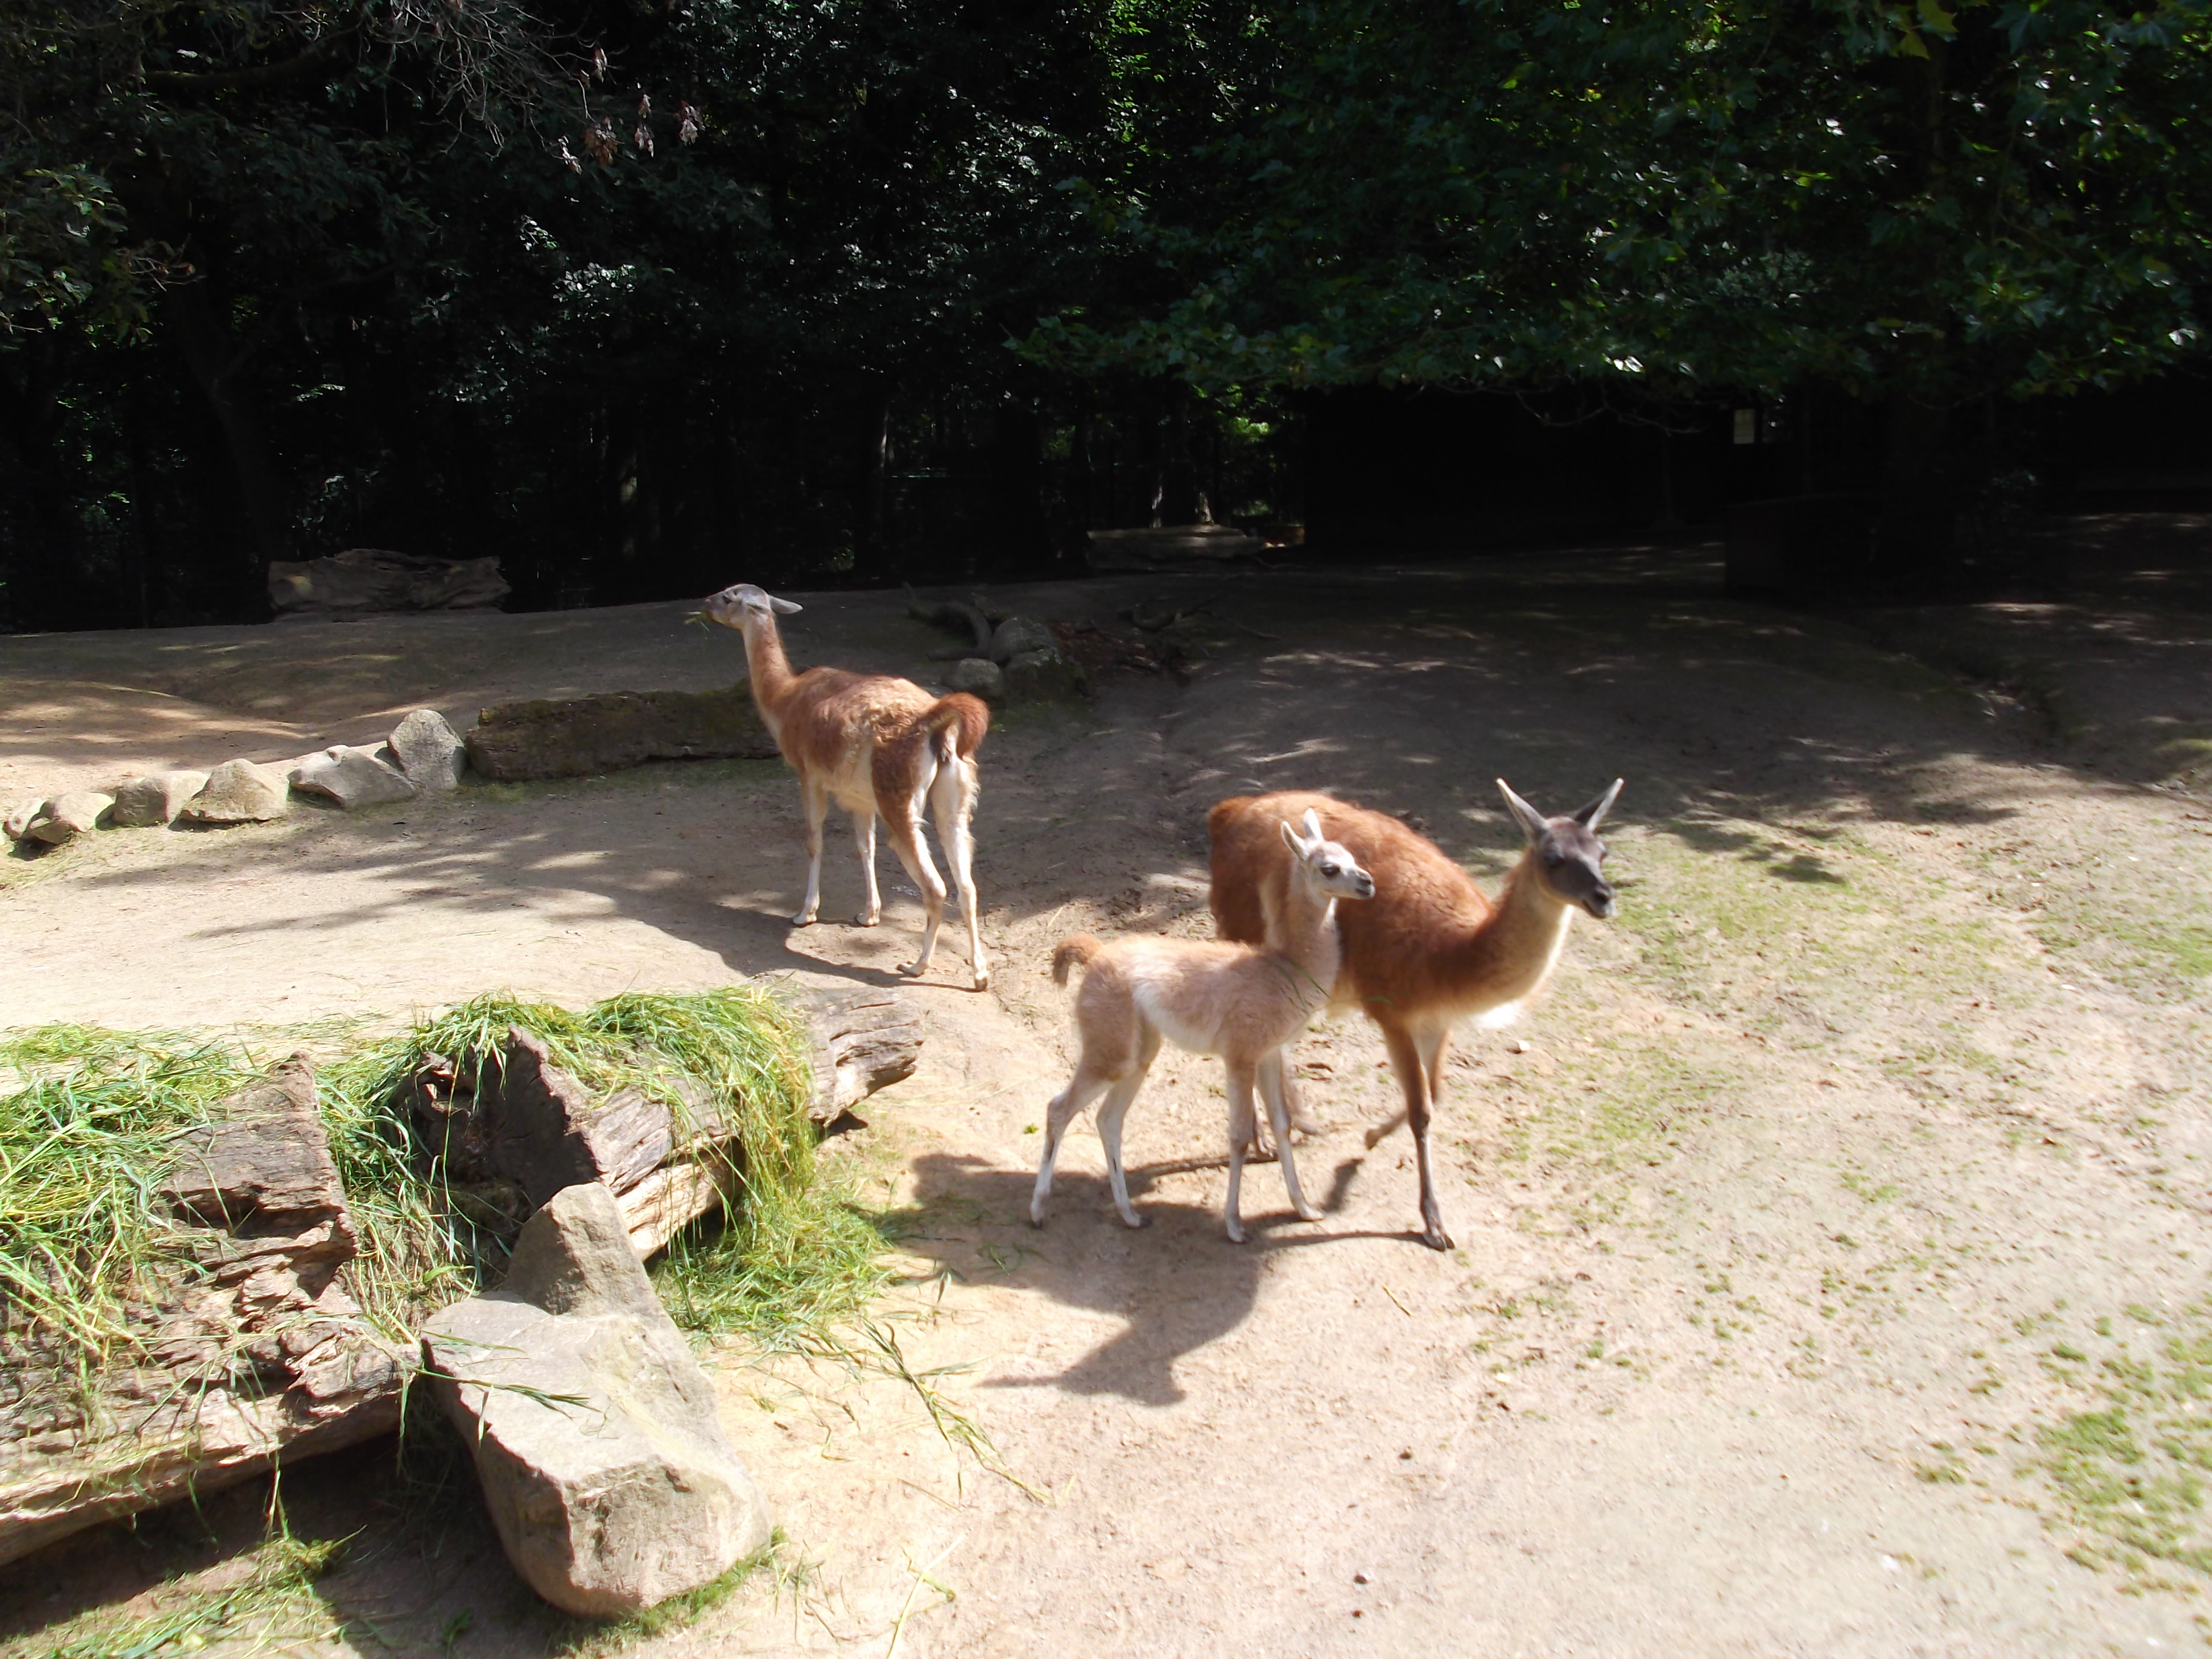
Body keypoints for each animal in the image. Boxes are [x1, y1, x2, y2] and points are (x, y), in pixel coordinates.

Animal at [701, 582, 991, 989]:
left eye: (728, 596)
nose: (704, 604)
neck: (784, 699)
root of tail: (936, 722)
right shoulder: (860, 798)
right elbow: (864, 847)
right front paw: (868, 914)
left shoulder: (809, 775)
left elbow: (814, 840)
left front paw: (805, 913)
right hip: (954, 801)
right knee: (968, 886)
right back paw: (979, 973)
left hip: (899, 801)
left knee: (936, 887)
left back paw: (916, 966)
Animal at [1030, 809, 1376, 1243]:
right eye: (1329, 868)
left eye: (1352, 856)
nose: (1368, 883)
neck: (1282, 971)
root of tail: (1095, 956)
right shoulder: (1241, 1054)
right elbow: (1239, 1135)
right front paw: (1235, 1225)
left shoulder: (1269, 1053)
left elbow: (1282, 1127)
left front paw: (1306, 1209)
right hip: (1110, 1048)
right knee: (1058, 1109)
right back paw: (1038, 1211)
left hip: (1139, 1051)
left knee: (1108, 1120)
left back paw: (1130, 1215)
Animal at [1208, 778, 1622, 1251]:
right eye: (1554, 858)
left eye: (1602, 852)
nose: (1604, 898)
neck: (1454, 955)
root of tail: (1229, 812)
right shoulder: (1394, 1014)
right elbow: (1421, 1113)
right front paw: (1434, 1224)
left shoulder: (1438, 1023)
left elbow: (1435, 1096)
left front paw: (1370, 1139)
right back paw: (1266, 1137)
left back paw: (1303, 1123)